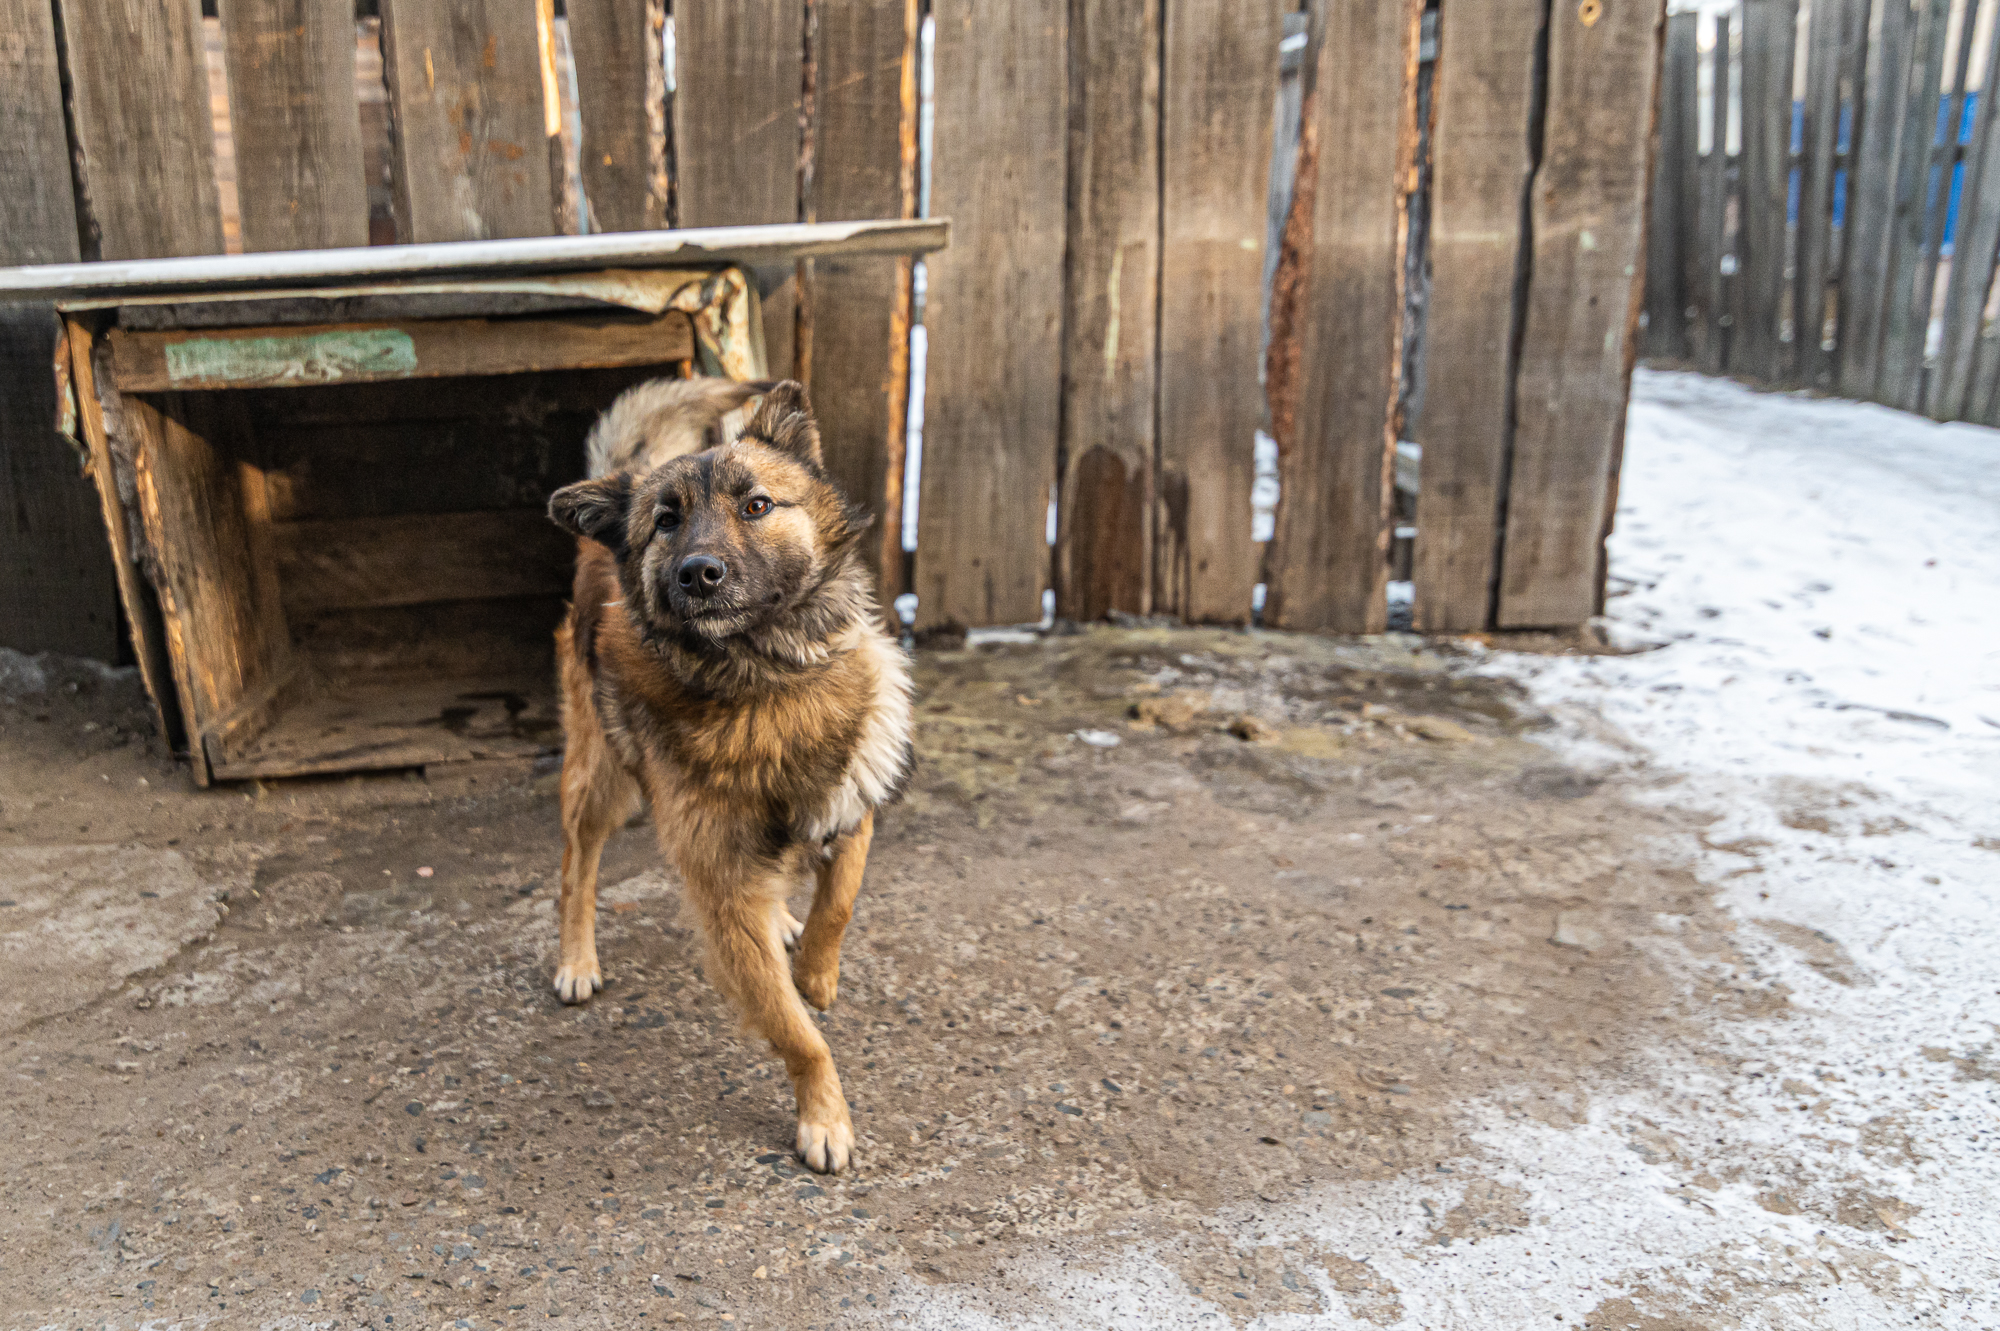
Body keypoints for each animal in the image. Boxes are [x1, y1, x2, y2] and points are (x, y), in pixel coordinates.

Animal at [552, 375, 916, 1175]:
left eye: (756, 505)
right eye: (666, 522)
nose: (700, 573)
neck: (768, 681)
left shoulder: (854, 799)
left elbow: (839, 901)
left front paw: (815, 973)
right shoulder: (723, 894)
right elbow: (795, 1032)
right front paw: (823, 1116)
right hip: (603, 778)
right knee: (577, 863)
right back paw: (575, 956)